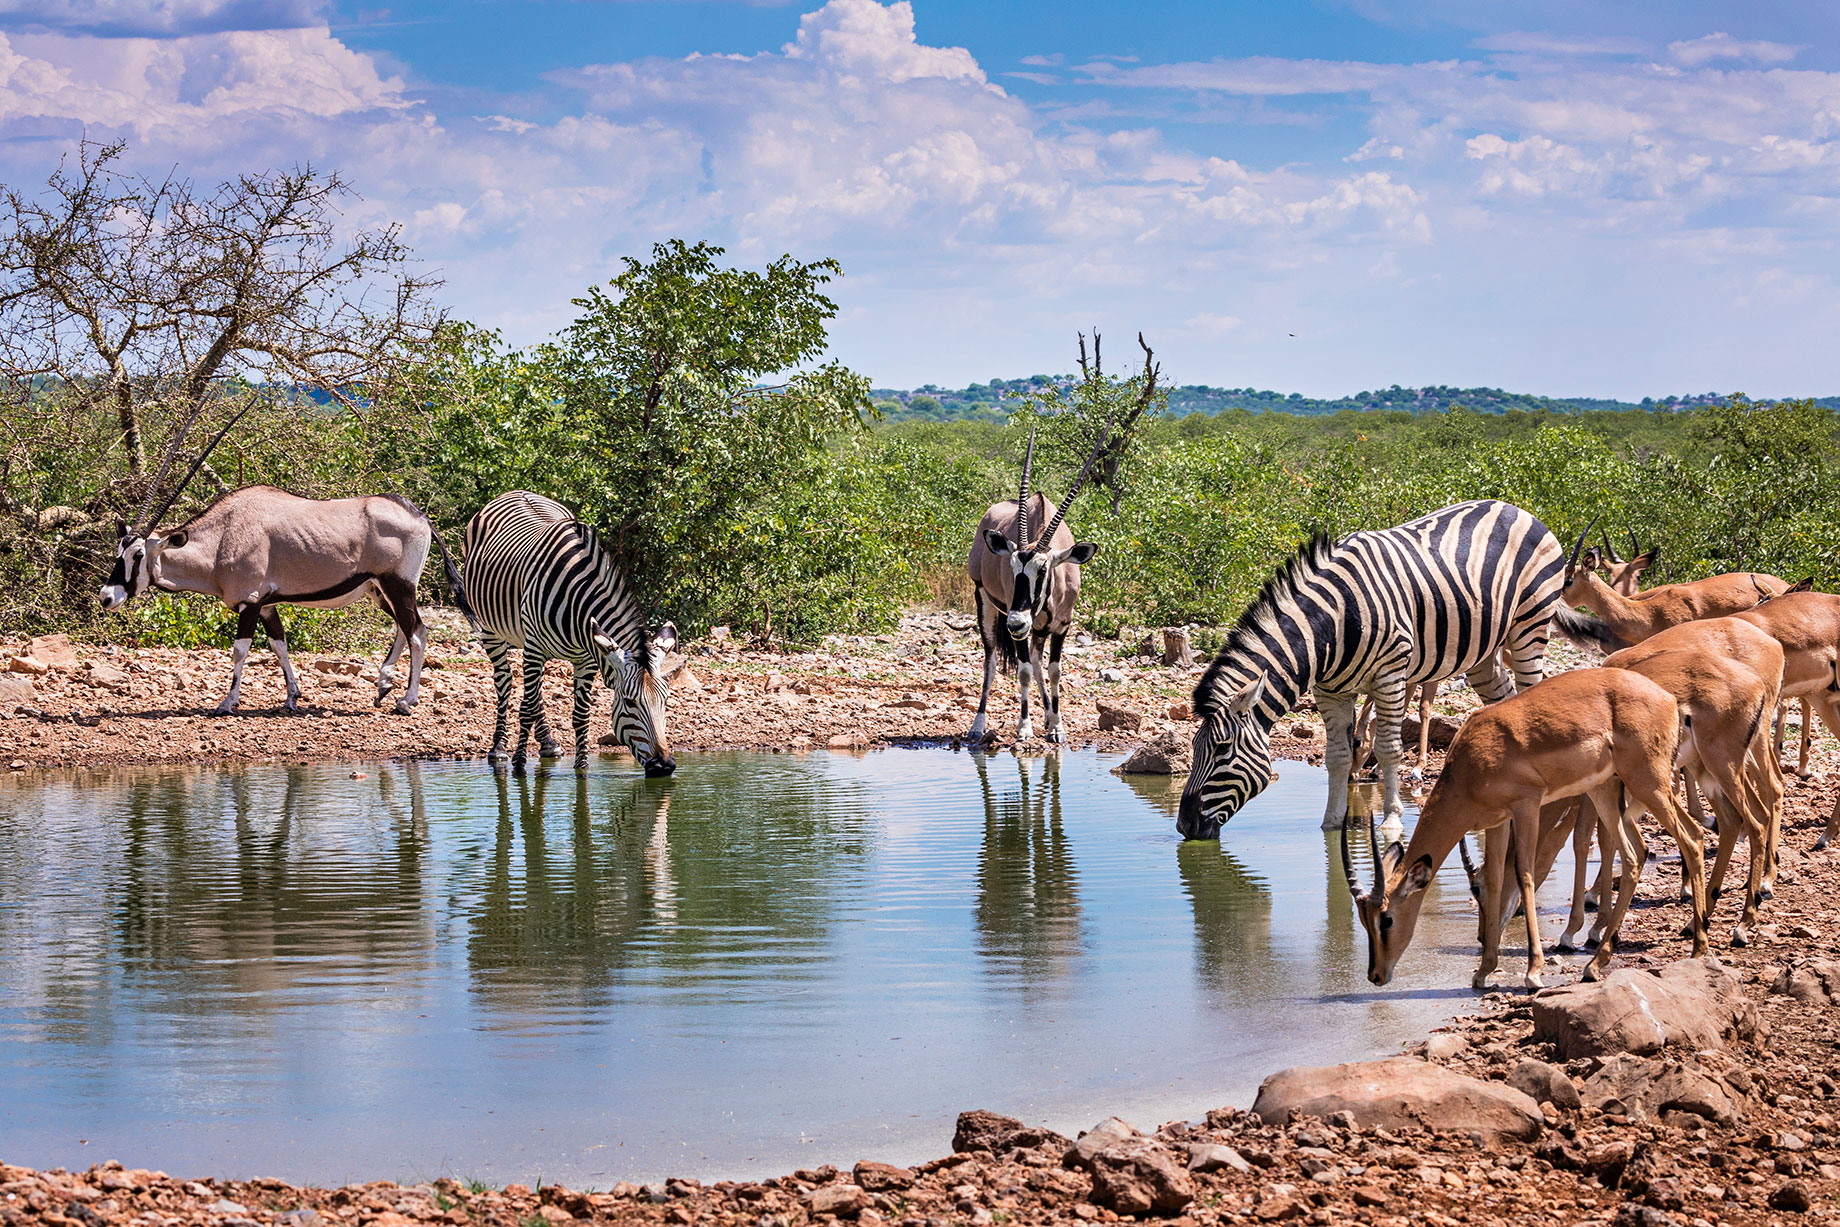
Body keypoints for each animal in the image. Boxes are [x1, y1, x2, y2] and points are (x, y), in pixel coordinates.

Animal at [101, 485, 464, 715]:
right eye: (118, 550)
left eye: (137, 555)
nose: (107, 597)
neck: (223, 536)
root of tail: (419, 516)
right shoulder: (267, 605)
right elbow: (280, 646)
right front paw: (292, 698)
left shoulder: (250, 603)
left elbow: (240, 650)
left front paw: (227, 703)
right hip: (380, 590)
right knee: (410, 628)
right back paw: (383, 686)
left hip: (398, 586)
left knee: (417, 633)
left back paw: (406, 701)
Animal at [462, 491, 678, 775]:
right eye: (630, 702)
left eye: (665, 701)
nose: (664, 766)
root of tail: (515, 492)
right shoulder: (535, 647)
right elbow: (526, 710)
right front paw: (519, 767)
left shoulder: (588, 659)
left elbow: (580, 716)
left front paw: (582, 767)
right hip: (492, 630)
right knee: (505, 682)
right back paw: (498, 747)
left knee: (535, 692)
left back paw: (548, 743)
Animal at [1176, 499, 1618, 839]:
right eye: (1194, 749)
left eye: (1221, 749)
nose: (1184, 826)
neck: (1332, 624)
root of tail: (1517, 508)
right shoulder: (1330, 691)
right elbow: (1337, 757)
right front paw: (1331, 823)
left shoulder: (1390, 674)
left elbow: (1389, 749)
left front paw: (1390, 822)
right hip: (1482, 654)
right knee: (1504, 700)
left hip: (1529, 627)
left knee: (1531, 689)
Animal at [1349, 667, 1704, 990]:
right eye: (1364, 918)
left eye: (1386, 919)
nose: (1375, 975)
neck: (1470, 763)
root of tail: (1669, 701)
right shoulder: (1496, 821)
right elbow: (1496, 877)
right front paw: (1483, 971)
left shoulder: (1527, 807)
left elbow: (1526, 874)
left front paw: (1533, 972)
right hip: (1607, 790)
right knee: (1636, 854)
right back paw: (1594, 964)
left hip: (1647, 784)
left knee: (1692, 837)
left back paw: (1698, 947)